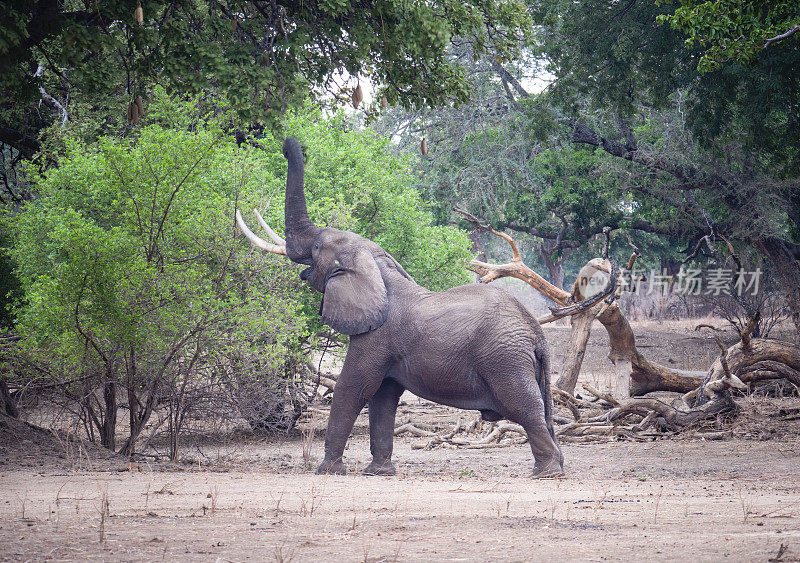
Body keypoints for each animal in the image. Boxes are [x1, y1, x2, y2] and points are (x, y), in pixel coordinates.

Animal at [234, 139, 564, 478]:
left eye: (315, 248)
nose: (288, 146)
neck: (378, 267)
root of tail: (536, 333)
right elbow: (383, 397)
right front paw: (378, 472)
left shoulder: (376, 337)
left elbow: (354, 388)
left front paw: (328, 470)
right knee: (542, 408)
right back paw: (553, 466)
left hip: (504, 359)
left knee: (524, 407)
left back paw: (547, 473)